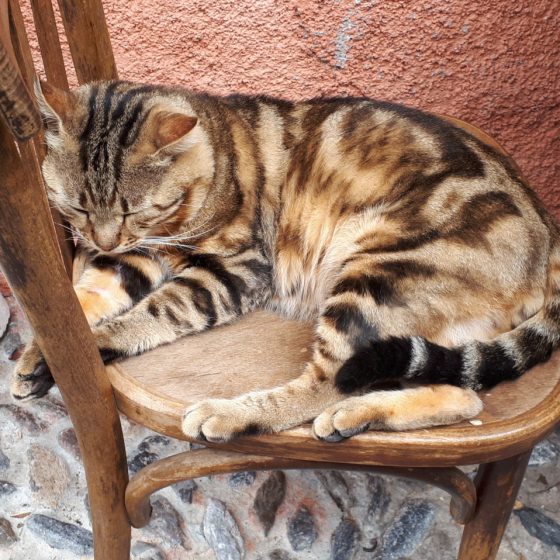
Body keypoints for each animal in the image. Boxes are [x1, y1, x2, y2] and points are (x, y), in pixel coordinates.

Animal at [9, 80, 560, 442]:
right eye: (77, 205)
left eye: (133, 208)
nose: (101, 238)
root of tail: (548, 232)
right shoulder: (133, 257)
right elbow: (81, 302)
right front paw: (44, 354)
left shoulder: (234, 269)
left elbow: (152, 313)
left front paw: (97, 343)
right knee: (464, 394)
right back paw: (361, 416)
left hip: (375, 274)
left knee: (327, 384)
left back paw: (232, 414)